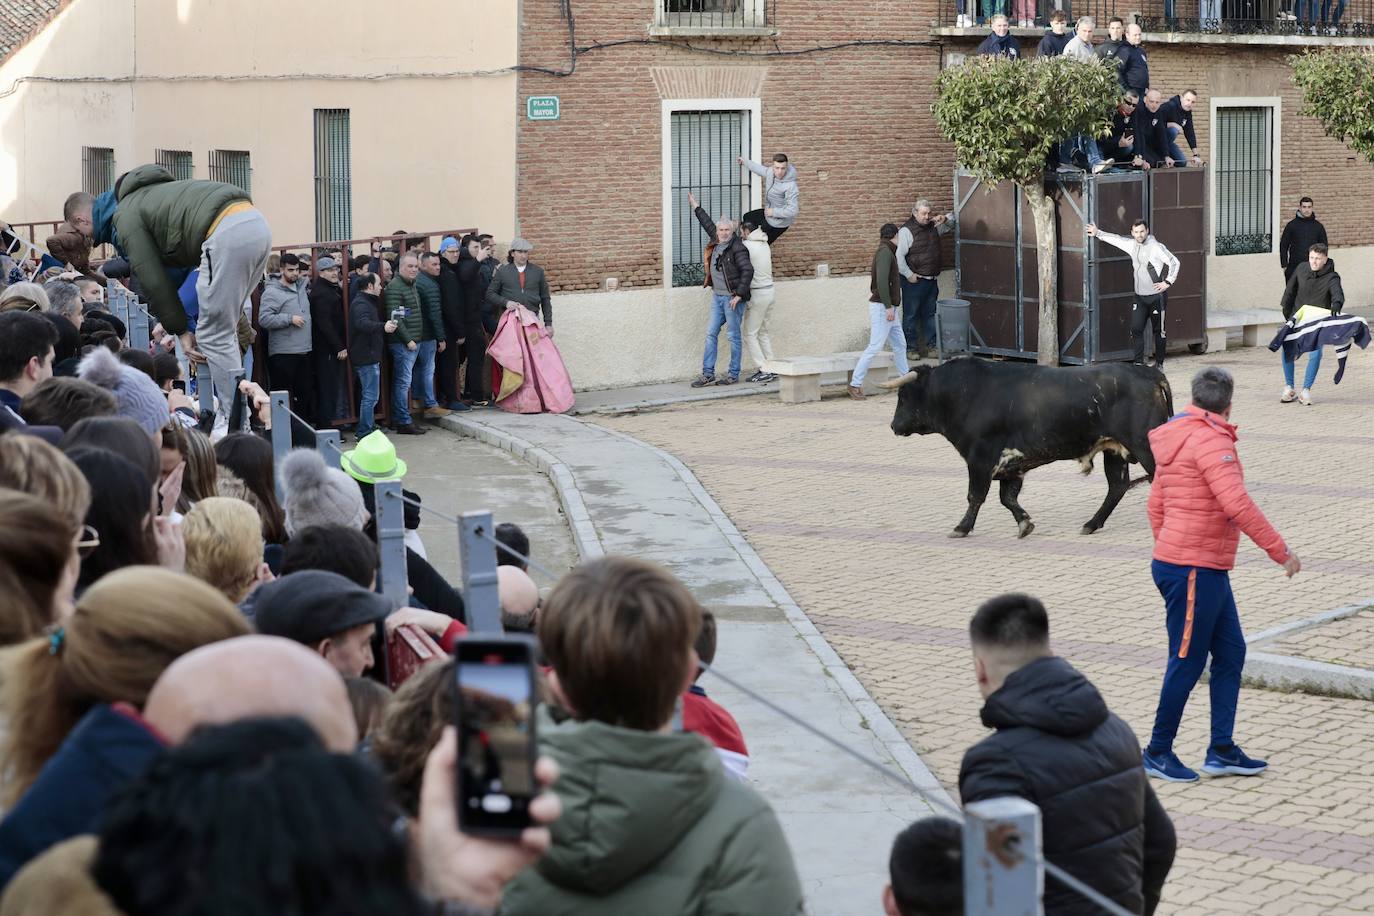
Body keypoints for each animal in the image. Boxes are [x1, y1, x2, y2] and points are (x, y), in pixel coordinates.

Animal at [890, 357, 1170, 541]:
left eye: (904, 397)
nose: (893, 425)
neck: (965, 393)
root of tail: (1151, 374)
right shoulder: (1012, 466)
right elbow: (1008, 498)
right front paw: (1025, 524)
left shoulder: (980, 458)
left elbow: (975, 495)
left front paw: (961, 527)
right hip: (1114, 450)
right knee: (1117, 487)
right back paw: (1091, 524)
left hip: (1144, 445)